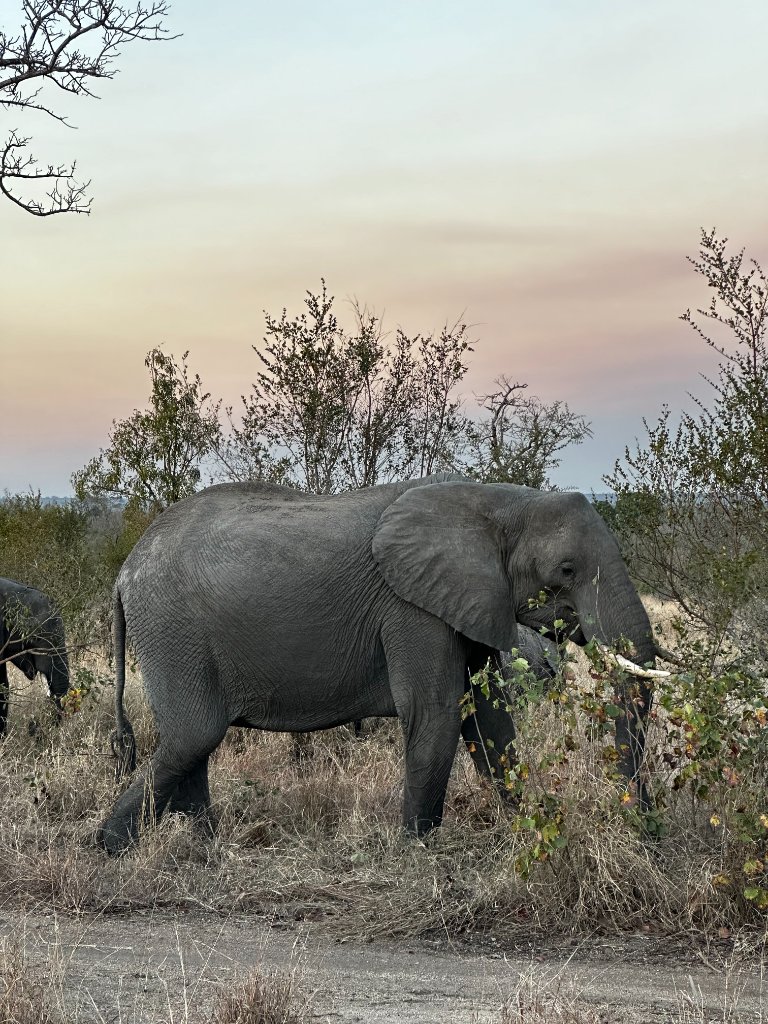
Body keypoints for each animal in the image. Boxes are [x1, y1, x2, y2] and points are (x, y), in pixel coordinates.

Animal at [98, 474, 666, 854]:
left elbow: (489, 722)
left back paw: (206, 850)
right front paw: (419, 855)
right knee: (194, 736)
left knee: (192, 745)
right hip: (173, 629)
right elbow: (437, 715)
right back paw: (108, 849)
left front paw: (527, 830)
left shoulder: (471, 602)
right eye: (566, 570)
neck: (501, 502)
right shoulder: (412, 608)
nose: (649, 835)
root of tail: (124, 574)